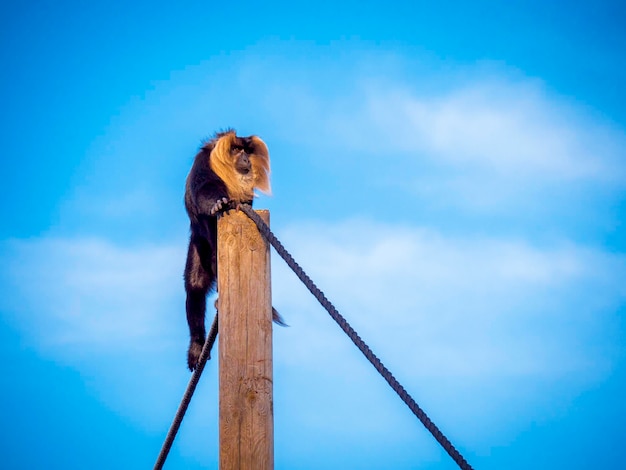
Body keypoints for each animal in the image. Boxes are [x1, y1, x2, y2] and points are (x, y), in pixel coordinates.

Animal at [180, 129, 278, 370]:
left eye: (247, 150)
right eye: (236, 149)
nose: (245, 159)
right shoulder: (203, 162)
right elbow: (205, 189)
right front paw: (218, 204)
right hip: (200, 243)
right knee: (195, 285)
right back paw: (197, 346)